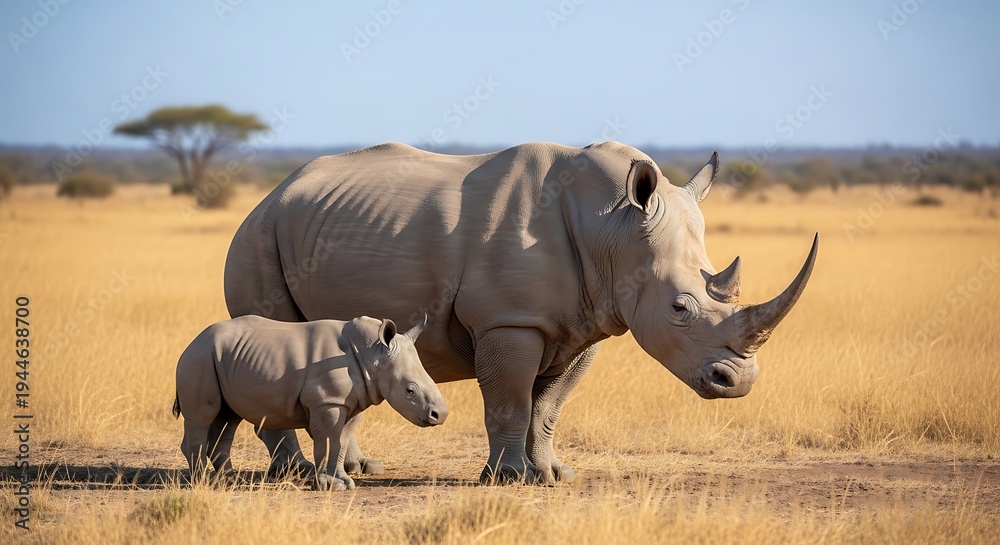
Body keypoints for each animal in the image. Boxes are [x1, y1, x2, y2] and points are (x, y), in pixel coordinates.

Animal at [173, 313, 446, 490]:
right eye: (410, 391)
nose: (440, 415)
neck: (372, 355)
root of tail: (192, 341)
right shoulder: (327, 401)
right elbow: (327, 441)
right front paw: (328, 485)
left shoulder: (351, 401)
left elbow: (341, 442)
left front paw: (344, 483)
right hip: (200, 357)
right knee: (203, 415)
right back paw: (202, 483)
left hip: (220, 358)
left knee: (227, 418)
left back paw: (228, 482)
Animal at [223, 141, 817, 484]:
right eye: (679, 307)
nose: (738, 382)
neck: (613, 226)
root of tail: (272, 193)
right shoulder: (509, 320)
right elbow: (509, 402)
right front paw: (509, 478)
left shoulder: (587, 323)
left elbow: (548, 406)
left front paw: (554, 474)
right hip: (257, 236)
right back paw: (296, 473)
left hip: (307, 228)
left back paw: (358, 469)